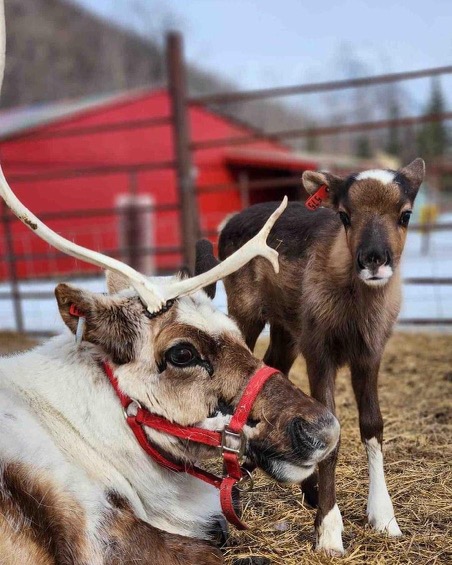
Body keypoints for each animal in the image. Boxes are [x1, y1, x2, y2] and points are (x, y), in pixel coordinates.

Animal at [218, 156, 424, 552]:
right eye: (345, 215)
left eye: (405, 214)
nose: (373, 259)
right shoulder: (319, 350)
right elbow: (332, 427)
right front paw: (329, 531)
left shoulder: (370, 352)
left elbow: (372, 424)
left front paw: (385, 518)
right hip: (245, 311)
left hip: (286, 329)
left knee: (273, 369)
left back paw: (301, 486)